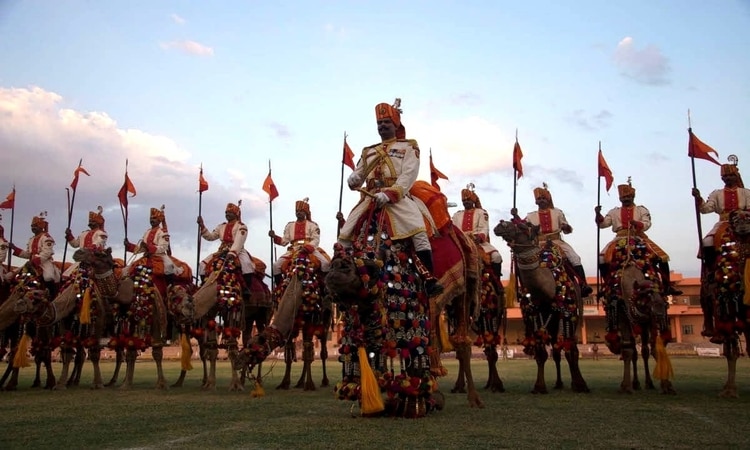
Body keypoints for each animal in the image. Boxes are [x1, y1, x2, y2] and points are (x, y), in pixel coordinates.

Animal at [496, 219, 592, 394]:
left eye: (522, 226)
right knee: (556, 350)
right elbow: (540, 353)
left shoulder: (568, 313)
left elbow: (571, 350)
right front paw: (539, 386)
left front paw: (580, 384)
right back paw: (558, 383)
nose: (501, 224)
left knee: (567, 348)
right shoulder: (533, 314)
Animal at [600, 234, 676, 396]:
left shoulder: (650, 318)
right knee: (635, 350)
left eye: (659, 292)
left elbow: (656, 347)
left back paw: (648, 383)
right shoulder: (622, 312)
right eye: (644, 295)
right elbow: (627, 349)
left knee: (645, 350)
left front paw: (667, 385)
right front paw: (626, 386)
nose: (660, 309)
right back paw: (636, 383)